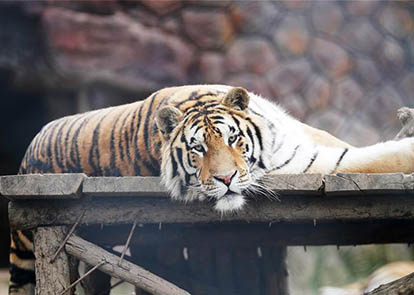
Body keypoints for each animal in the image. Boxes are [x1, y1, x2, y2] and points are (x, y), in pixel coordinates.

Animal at [8, 84, 414, 294]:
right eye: (198, 149)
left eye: (233, 139)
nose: (226, 179)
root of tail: (24, 161)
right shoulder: (313, 164)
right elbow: (378, 158)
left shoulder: (303, 134)